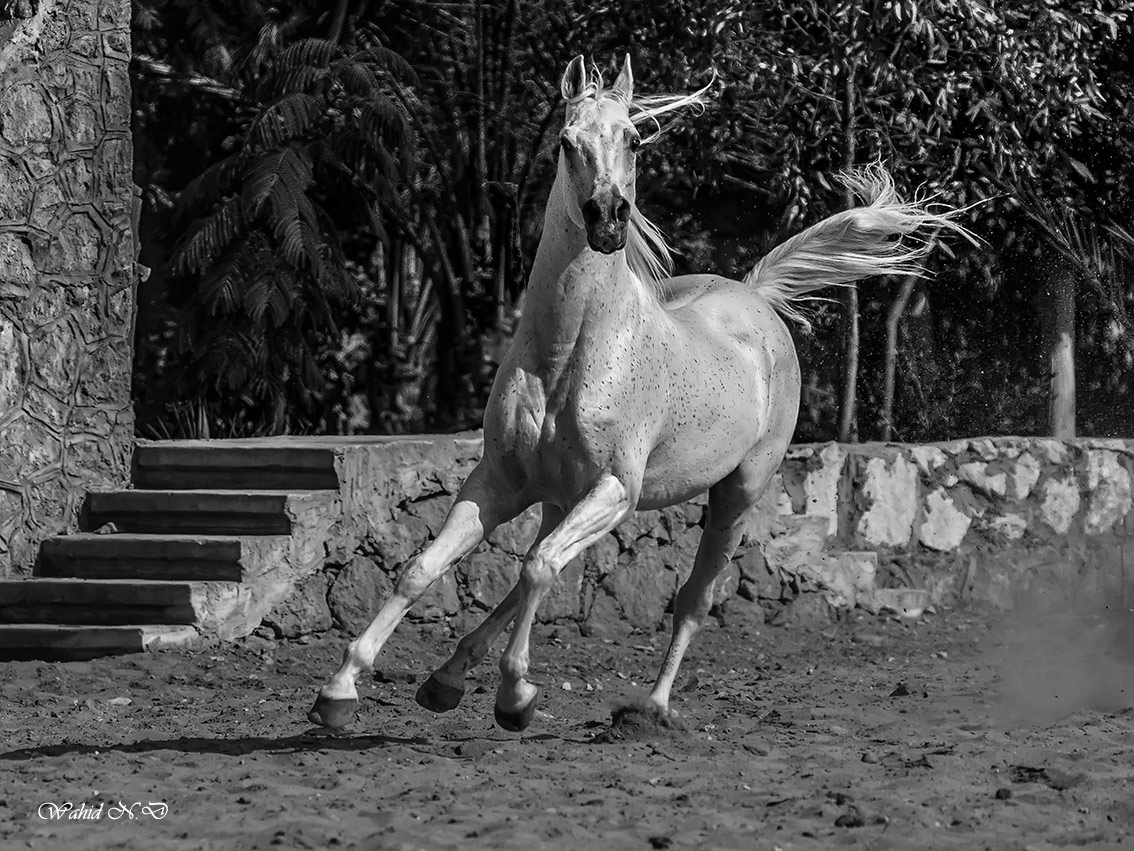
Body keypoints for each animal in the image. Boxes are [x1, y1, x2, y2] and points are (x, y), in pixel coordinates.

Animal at [308, 55, 966, 735]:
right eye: (566, 142)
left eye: (634, 139)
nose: (607, 218)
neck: (567, 354)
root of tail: (757, 297)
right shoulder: (499, 480)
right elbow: (425, 568)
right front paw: (338, 691)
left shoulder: (617, 490)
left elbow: (538, 568)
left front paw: (516, 696)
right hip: (559, 499)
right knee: (536, 568)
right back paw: (446, 680)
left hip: (738, 492)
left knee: (688, 597)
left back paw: (650, 706)